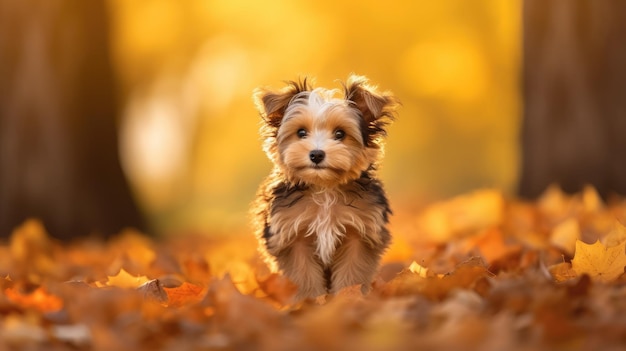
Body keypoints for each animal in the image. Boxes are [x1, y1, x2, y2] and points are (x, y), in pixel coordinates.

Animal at [251, 74, 398, 300]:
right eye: (301, 132)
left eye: (340, 134)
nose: (316, 154)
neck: (324, 188)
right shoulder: (293, 233)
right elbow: (304, 274)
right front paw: (311, 302)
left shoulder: (360, 231)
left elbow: (352, 271)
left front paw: (348, 299)